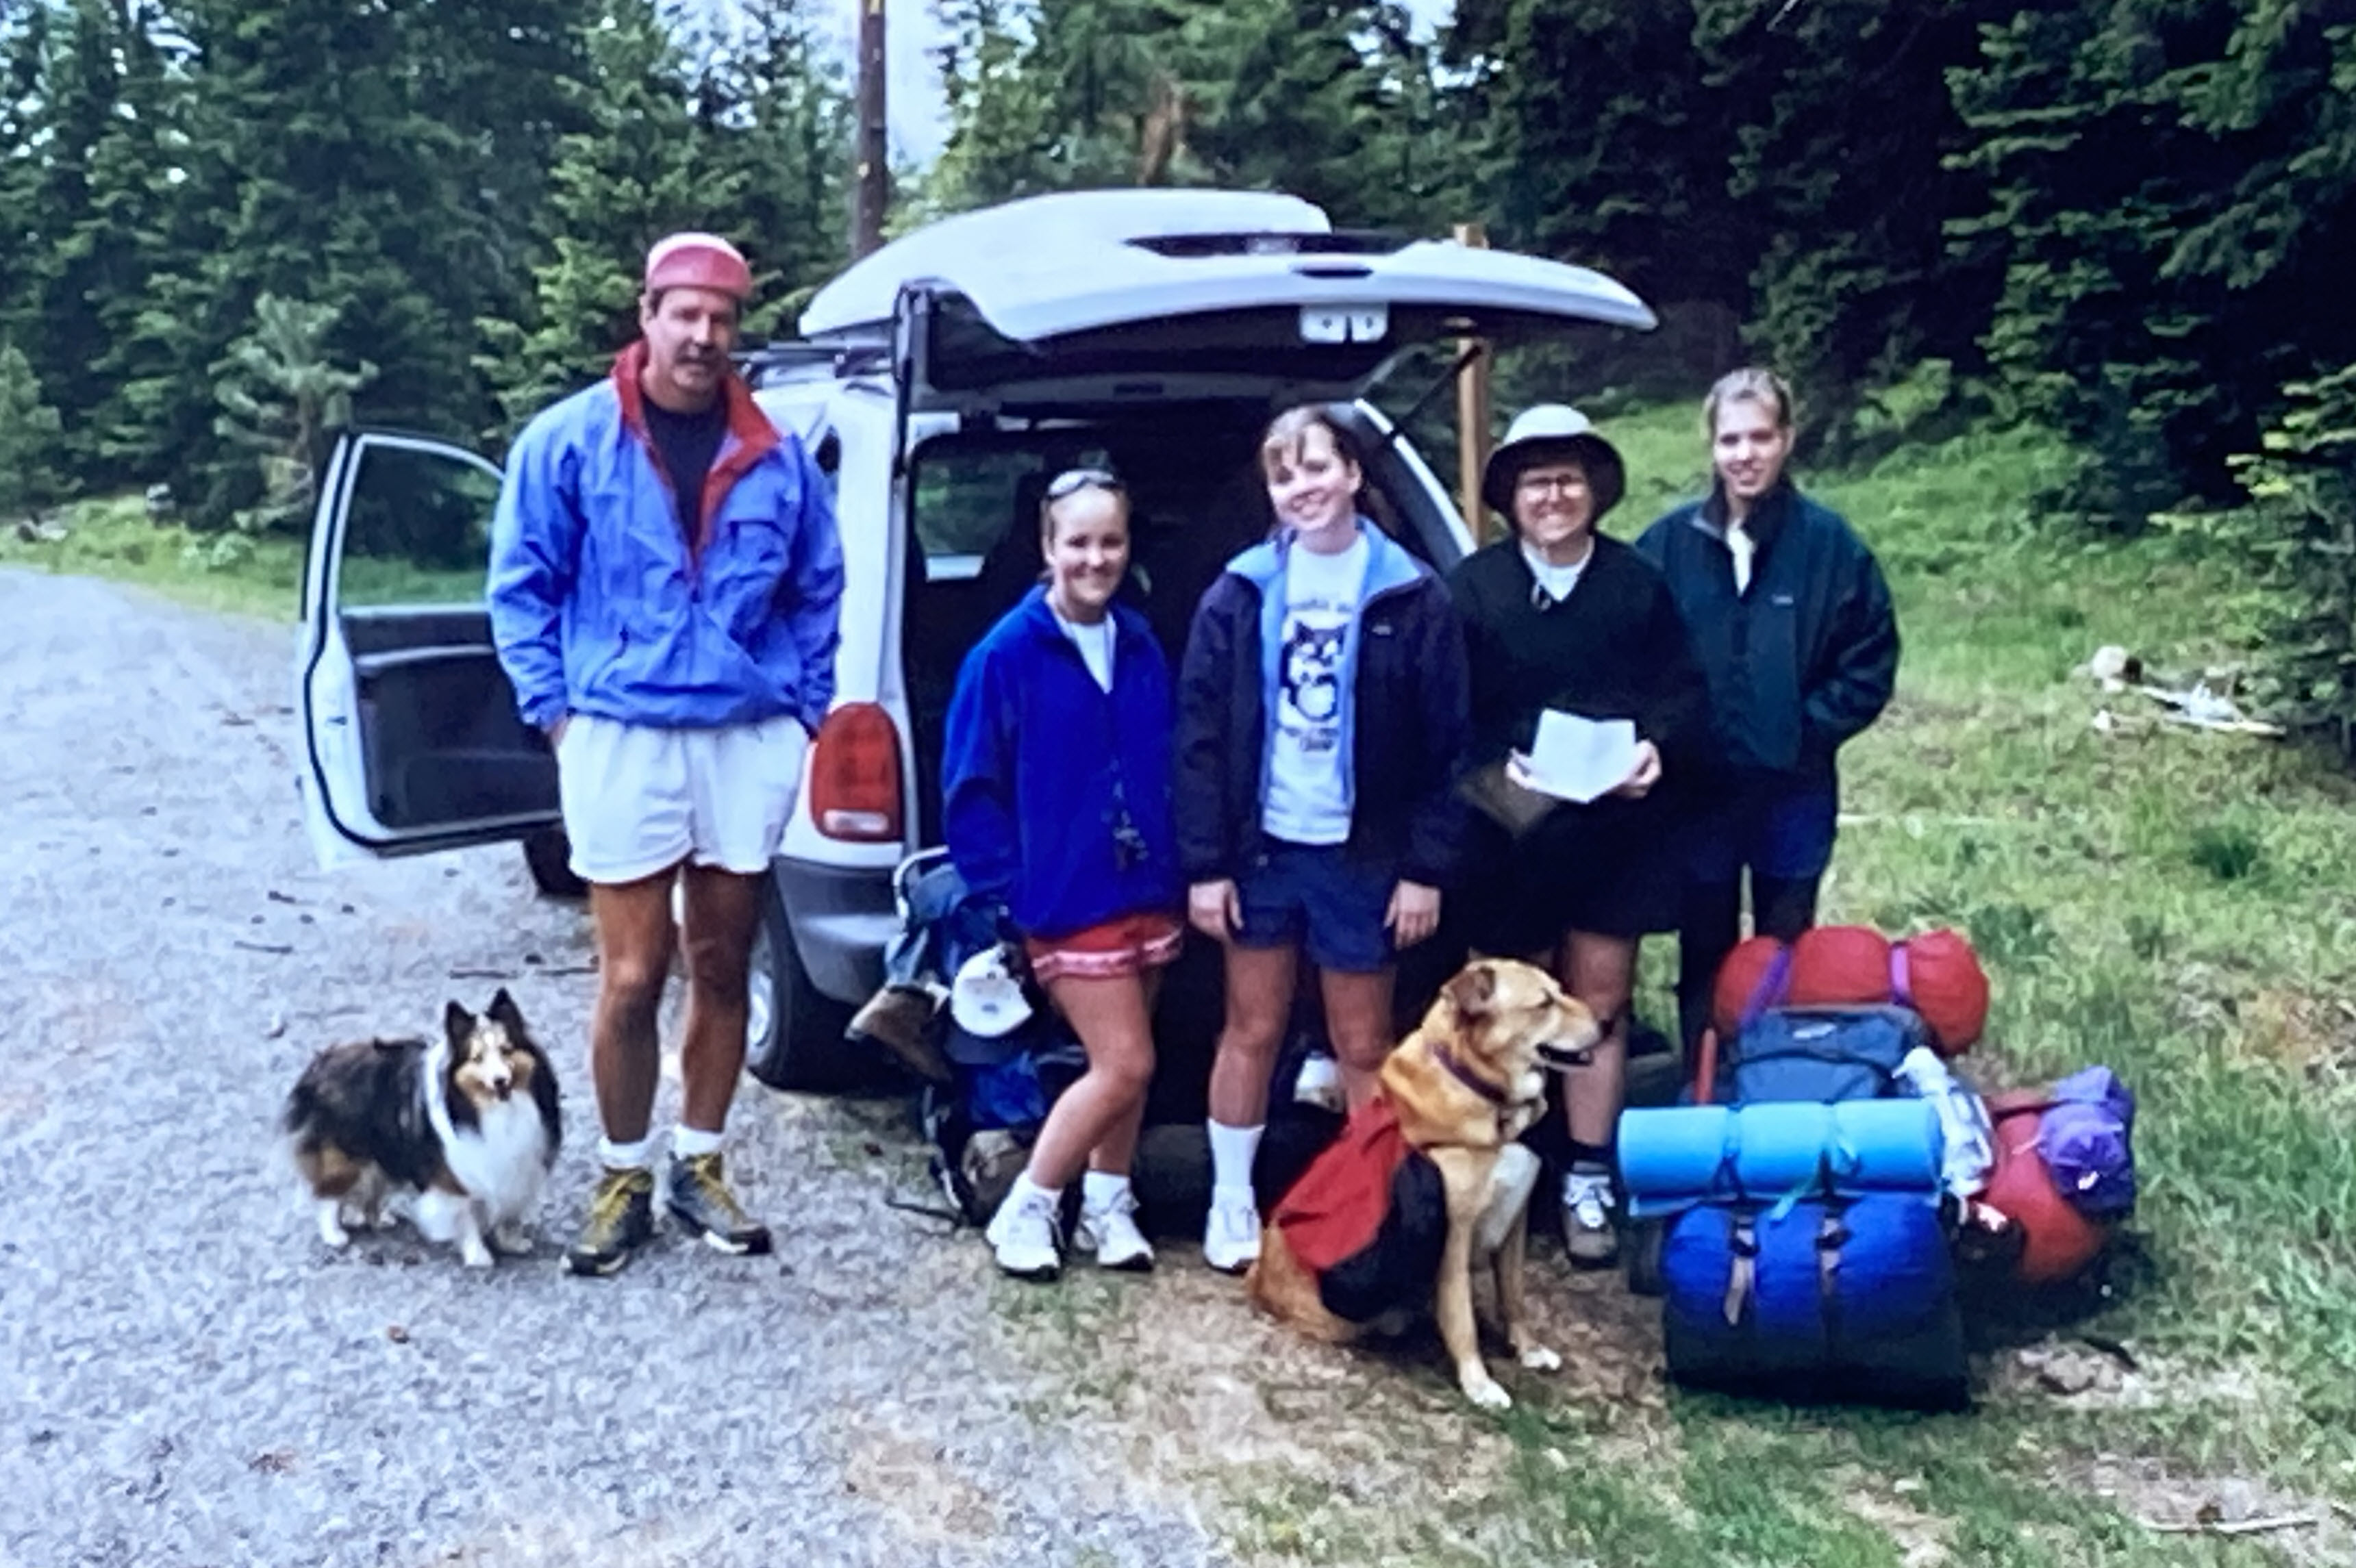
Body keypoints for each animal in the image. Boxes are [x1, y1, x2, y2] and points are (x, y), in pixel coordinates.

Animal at [280, 994, 560, 1262]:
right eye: (477, 1058)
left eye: (506, 1050)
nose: (501, 1081)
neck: (488, 1110)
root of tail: (320, 1063)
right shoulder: (455, 1178)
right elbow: (466, 1217)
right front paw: (478, 1256)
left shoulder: (515, 1169)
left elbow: (507, 1213)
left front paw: (512, 1244)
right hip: (345, 1157)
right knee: (327, 1196)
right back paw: (334, 1235)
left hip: (384, 1155)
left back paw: (378, 1219)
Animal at [1253, 960, 1602, 1413]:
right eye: (1544, 1003)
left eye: (1560, 991)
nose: (1608, 1024)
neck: (1486, 1095)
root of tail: (1256, 1279)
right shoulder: (1455, 1235)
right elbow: (1460, 1317)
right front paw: (1478, 1382)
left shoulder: (1516, 1220)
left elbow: (1514, 1295)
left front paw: (1527, 1349)